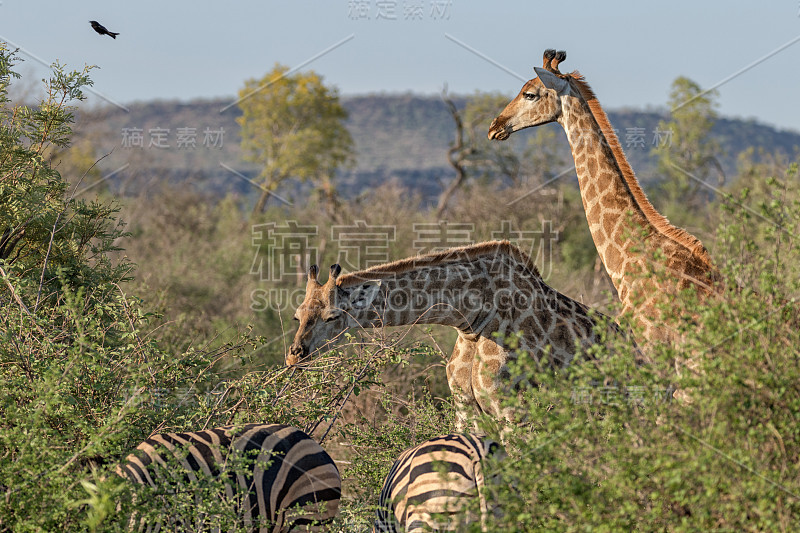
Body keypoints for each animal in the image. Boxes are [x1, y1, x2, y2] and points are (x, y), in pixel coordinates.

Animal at [288, 240, 636, 428]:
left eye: (333, 316)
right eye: (297, 315)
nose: (295, 355)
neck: (474, 317)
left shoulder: (515, 414)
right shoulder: (466, 411)